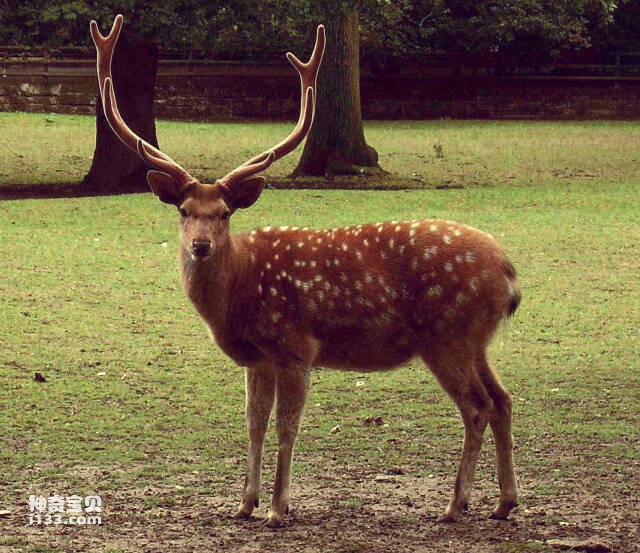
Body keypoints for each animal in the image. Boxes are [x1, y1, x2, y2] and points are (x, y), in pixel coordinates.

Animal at [90, 16, 520, 528]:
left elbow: (286, 428)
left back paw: (455, 505)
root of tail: (510, 274)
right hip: (476, 340)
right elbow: (253, 425)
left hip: (446, 335)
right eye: (183, 210)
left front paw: (279, 508)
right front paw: (245, 504)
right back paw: (504, 502)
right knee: (503, 399)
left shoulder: (296, 346)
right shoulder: (258, 359)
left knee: (476, 407)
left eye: (225, 213)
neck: (239, 293)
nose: (201, 245)